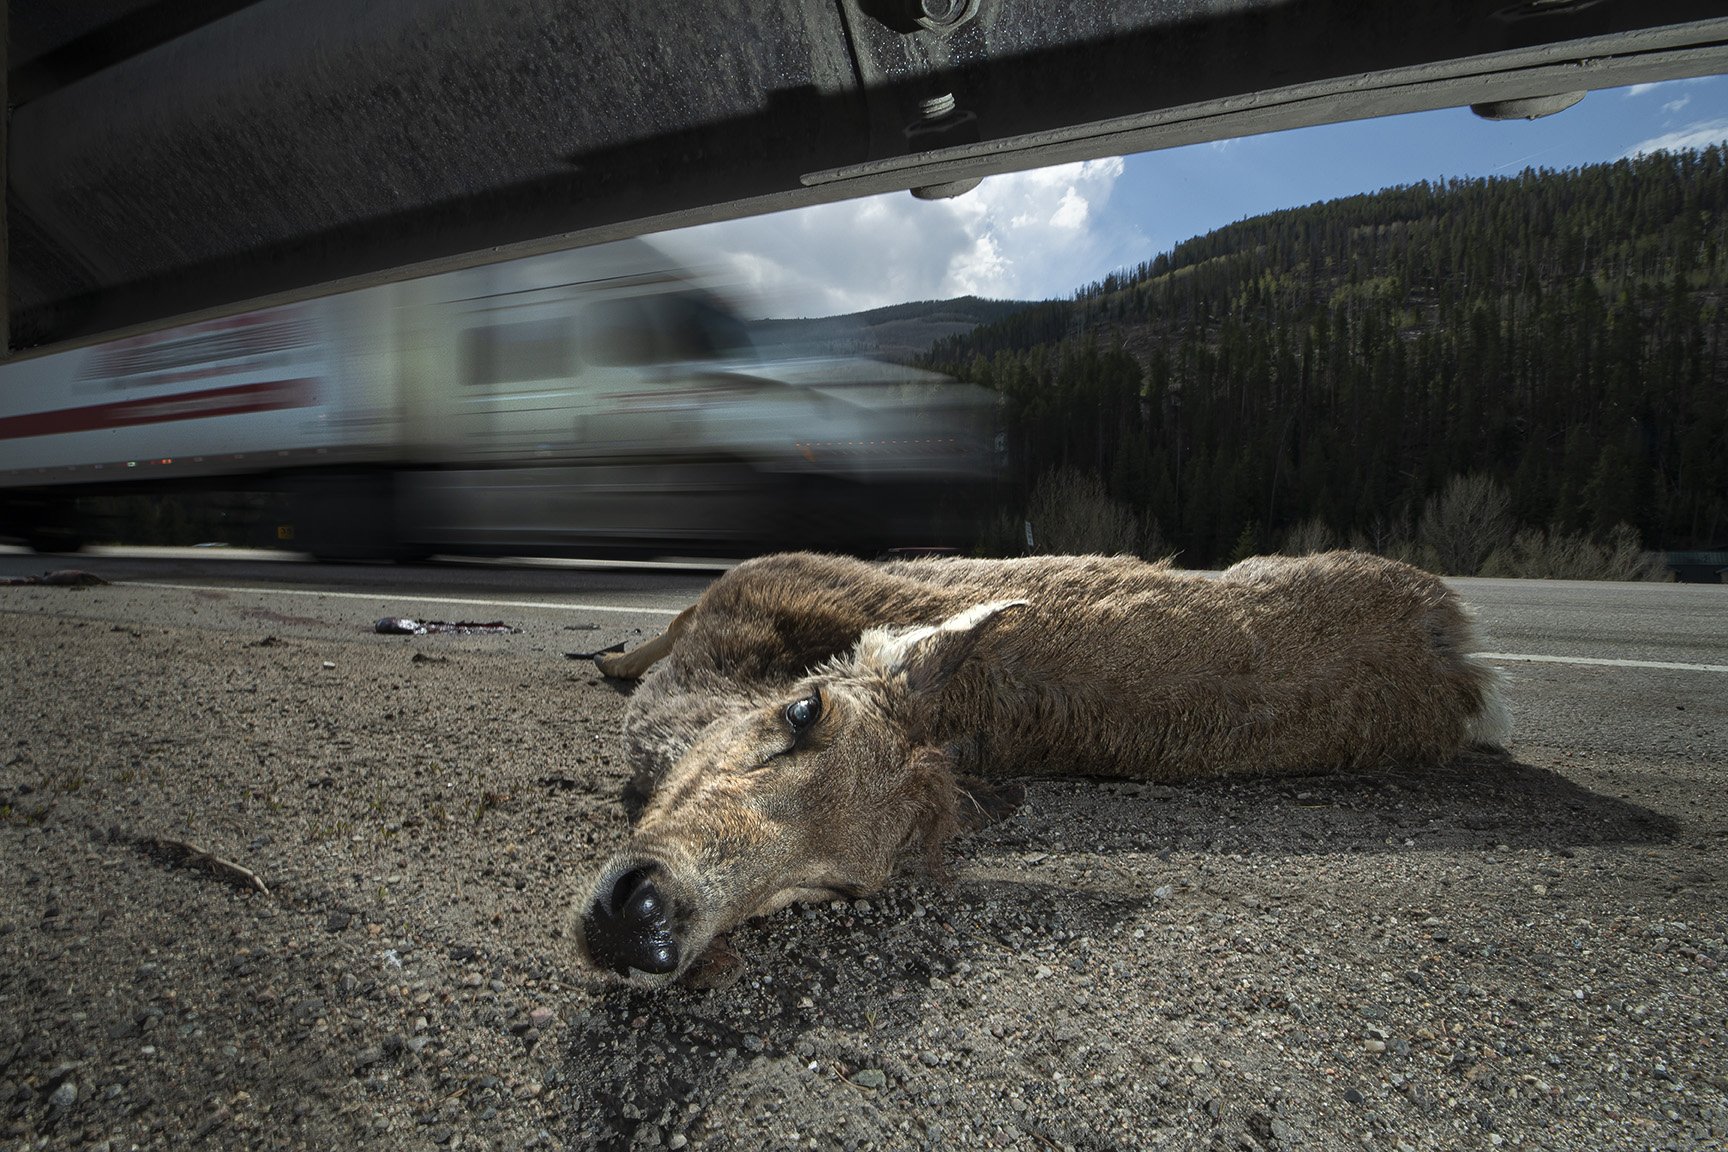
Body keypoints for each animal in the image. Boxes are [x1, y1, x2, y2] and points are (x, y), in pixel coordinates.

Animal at [571, 550, 1509, 987]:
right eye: (804, 713)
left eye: (840, 888)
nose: (649, 922)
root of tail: (1465, 652)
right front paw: (608, 653)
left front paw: (610, 655)